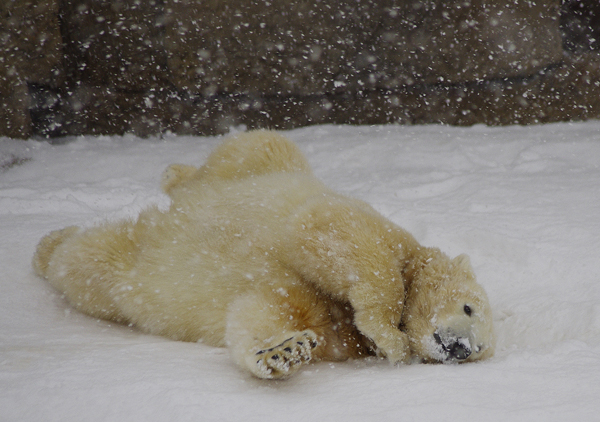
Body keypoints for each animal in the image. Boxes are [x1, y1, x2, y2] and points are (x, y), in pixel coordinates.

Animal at [32, 129, 494, 380]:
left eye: (482, 351)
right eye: (469, 307)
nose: (462, 348)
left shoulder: (333, 329)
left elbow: (263, 313)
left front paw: (282, 352)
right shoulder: (380, 232)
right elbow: (333, 229)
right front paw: (392, 338)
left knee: (93, 264)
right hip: (264, 172)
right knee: (258, 147)